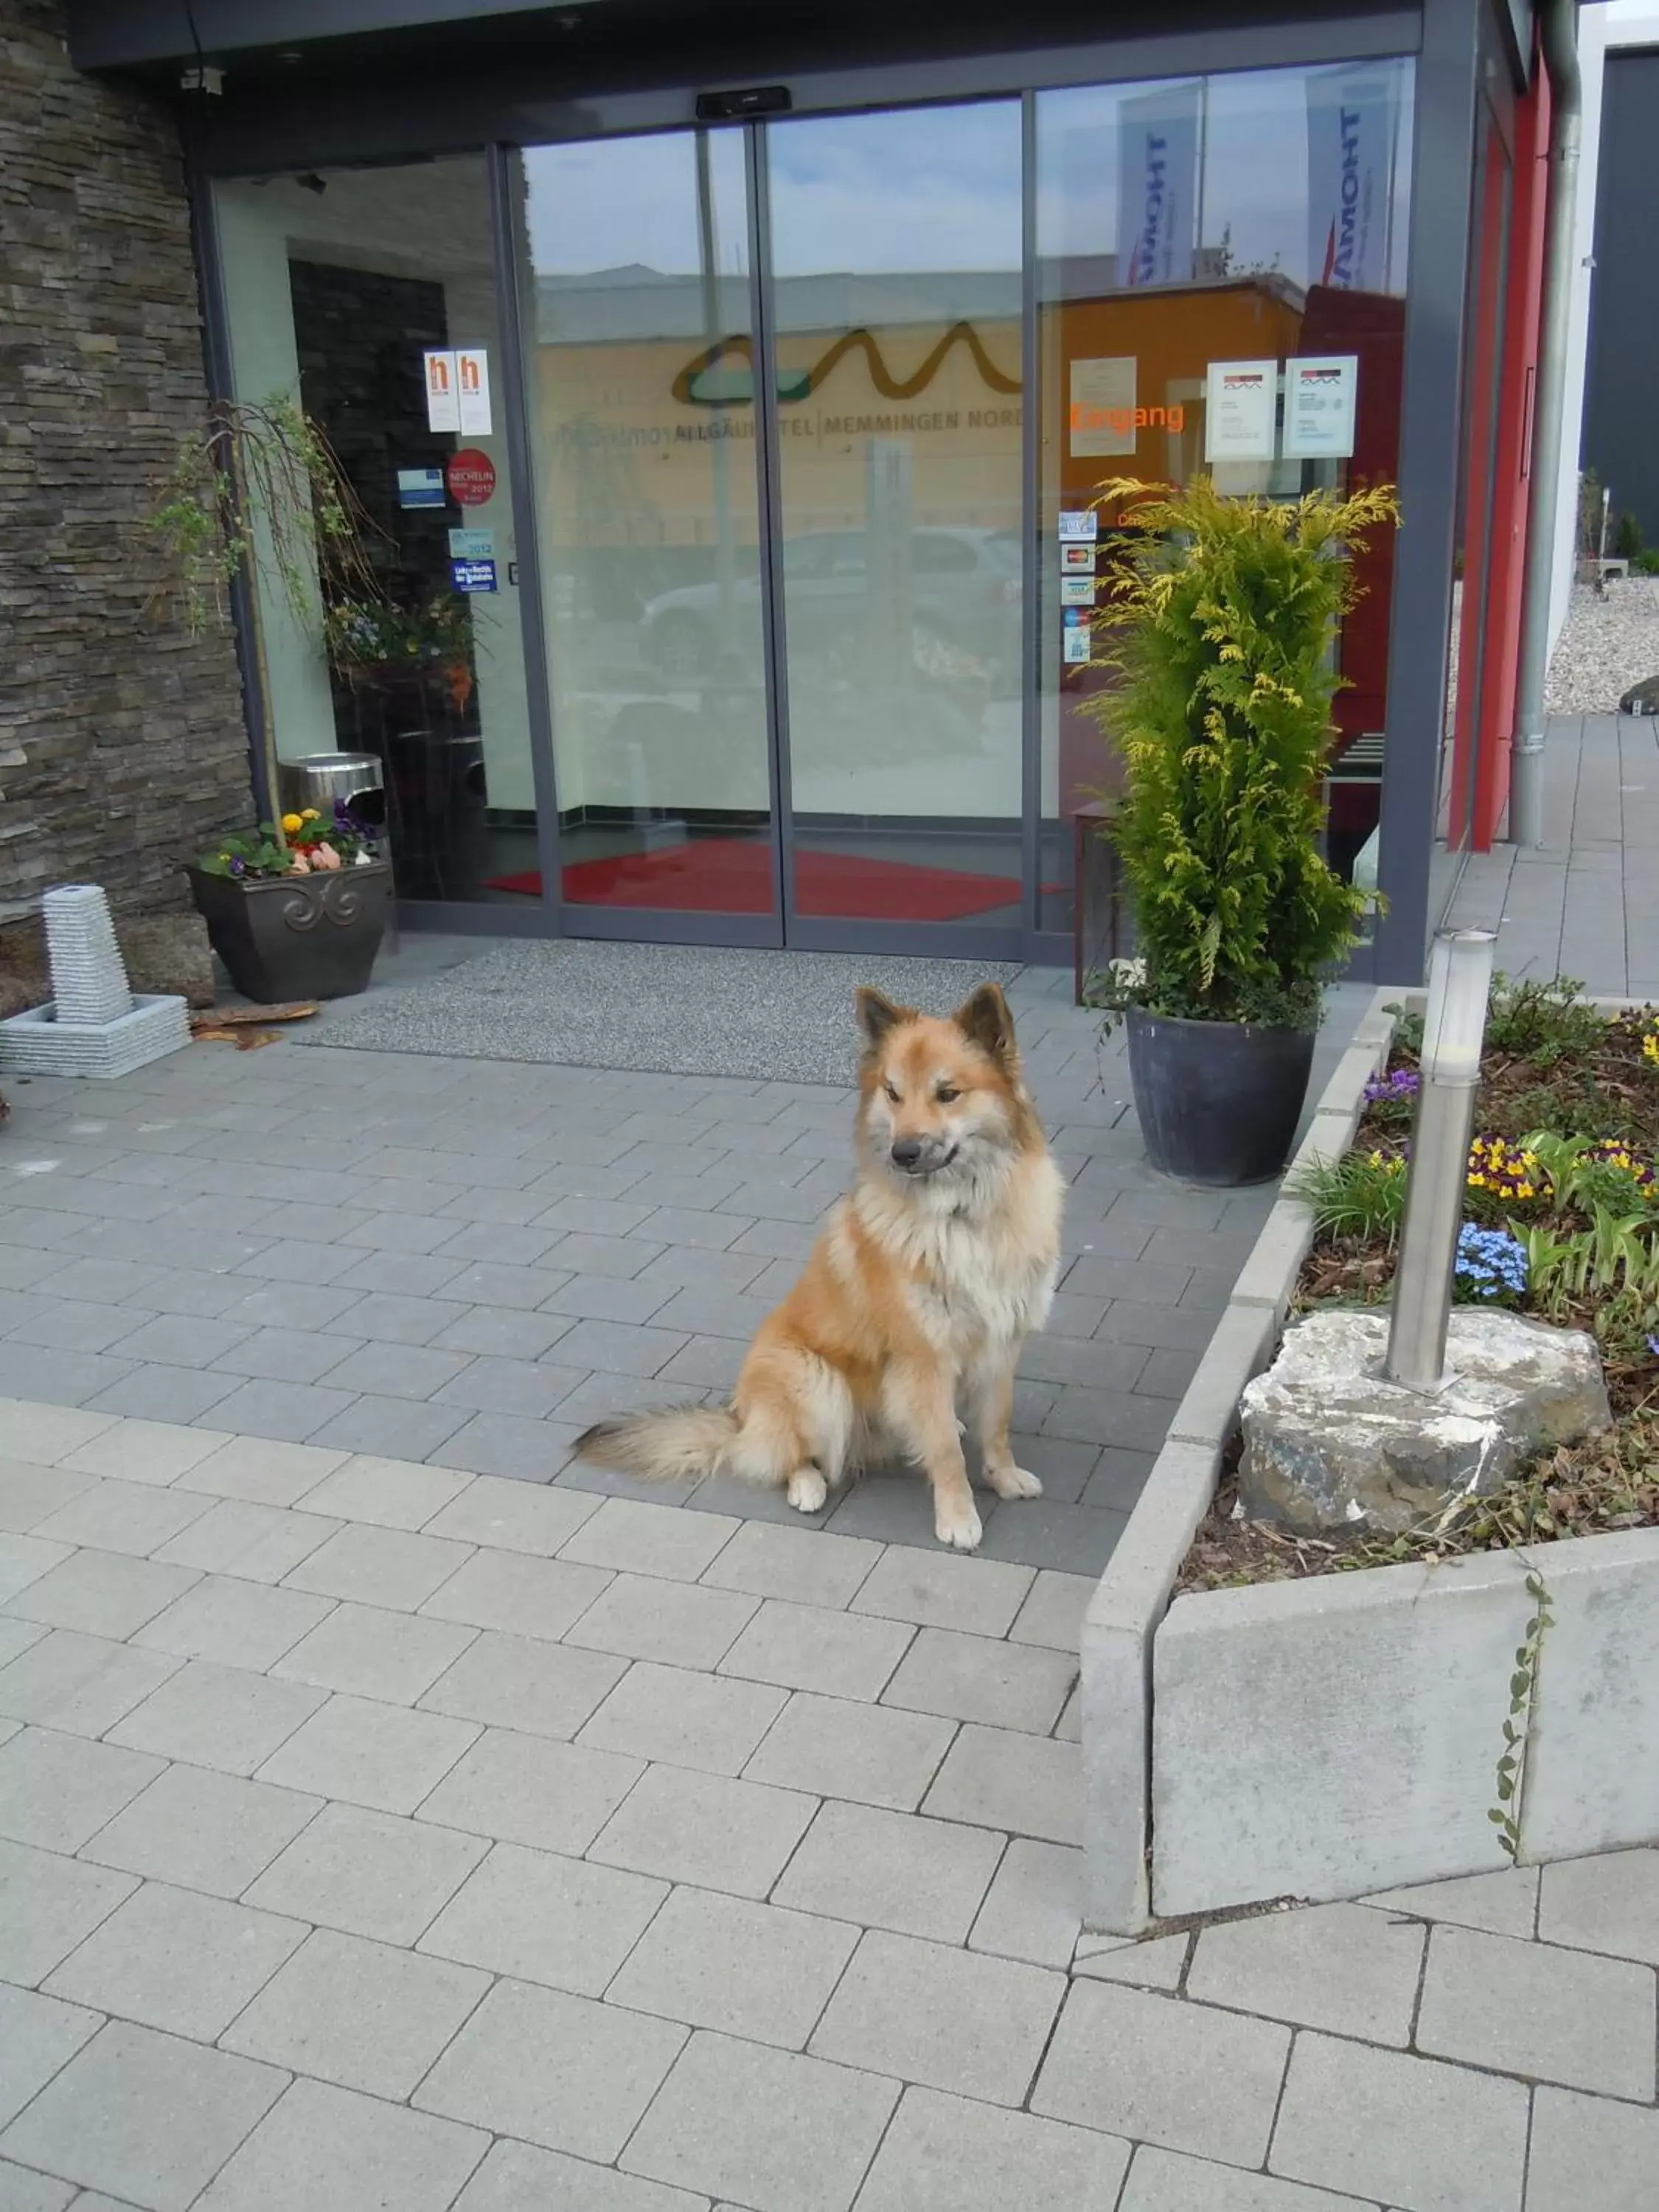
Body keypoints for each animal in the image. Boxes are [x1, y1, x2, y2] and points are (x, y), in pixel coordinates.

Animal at [575, 987, 1066, 1557]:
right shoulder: (923, 1358)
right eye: (893, 1094)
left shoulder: (1003, 1343)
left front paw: (1004, 1479)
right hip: (816, 1381)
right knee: (786, 1457)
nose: (903, 1152)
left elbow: (997, 1426)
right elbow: (943, 1449)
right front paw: (958, 1517)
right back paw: (806, 1486)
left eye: (948, 1094)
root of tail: (739, 1416)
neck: (963, 1216)